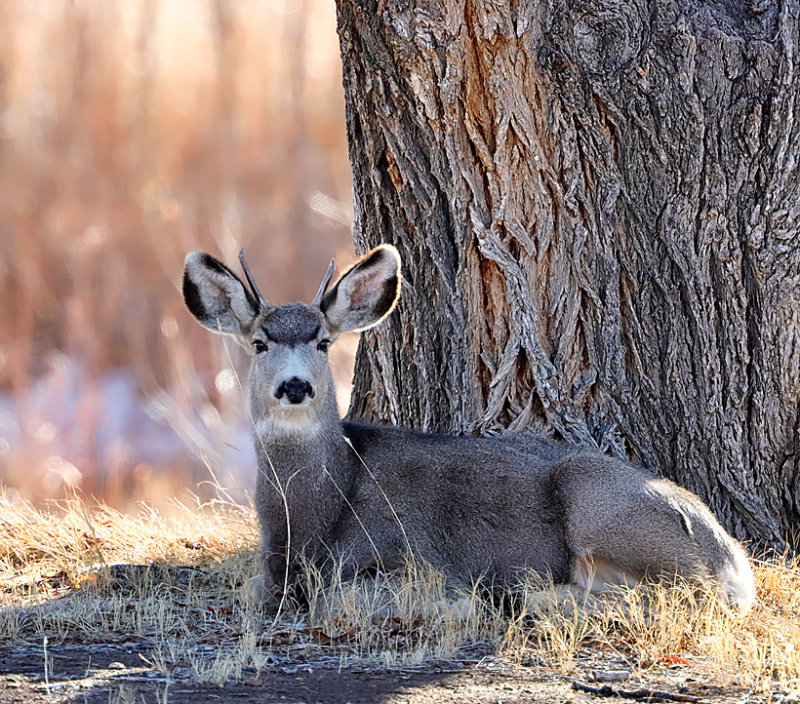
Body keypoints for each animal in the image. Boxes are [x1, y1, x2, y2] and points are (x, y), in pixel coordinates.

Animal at [181, 245, 756, 612]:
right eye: (259, 343)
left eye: (324, 341)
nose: (296, 385)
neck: (310, 519)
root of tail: (733, 557)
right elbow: (257, 588)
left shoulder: (406, 553)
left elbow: (344, 595)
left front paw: (461, 601)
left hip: (599, 503)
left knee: (681, 594)